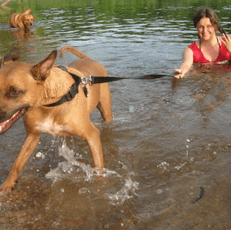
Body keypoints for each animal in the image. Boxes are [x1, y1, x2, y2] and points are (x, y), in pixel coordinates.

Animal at [0, 45, 113, 193]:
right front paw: (7, 185)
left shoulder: (92, 135)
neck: (50, 103)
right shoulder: (32, 136)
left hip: (106, 112)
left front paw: (101, 187)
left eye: (15, 92)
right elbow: (16, 164)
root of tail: (90, 60)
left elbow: (99, 169)